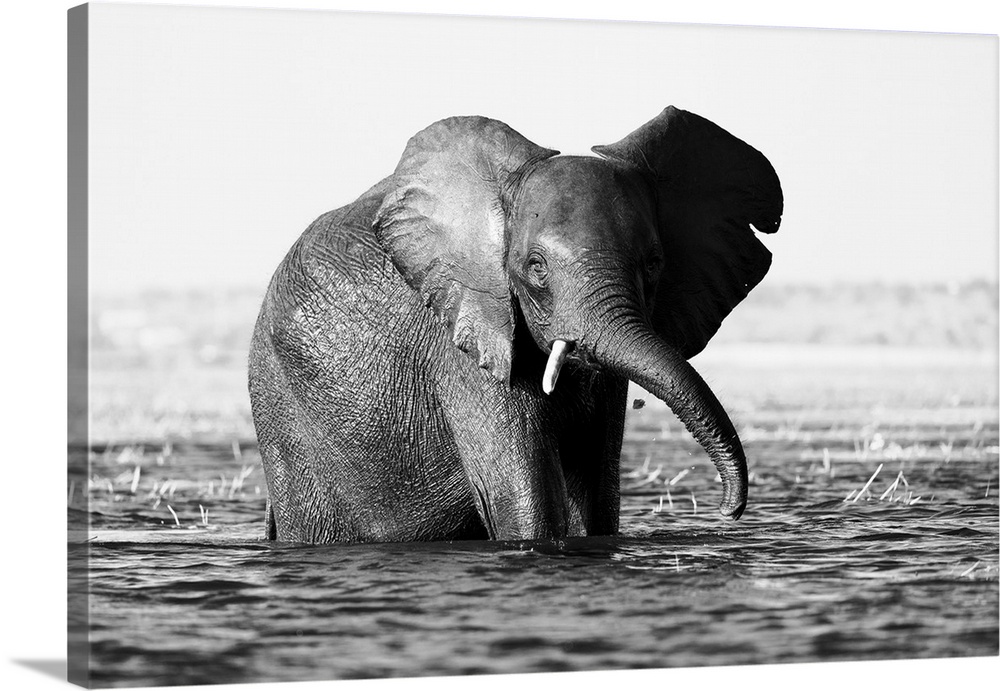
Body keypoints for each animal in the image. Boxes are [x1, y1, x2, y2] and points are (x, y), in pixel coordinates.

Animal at [248, 106, 783, 543]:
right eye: (535, 267)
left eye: (653, 264)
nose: (727, 511)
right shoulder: (463, 347)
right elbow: (526, 502)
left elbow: (597, 496)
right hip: (282, 413)